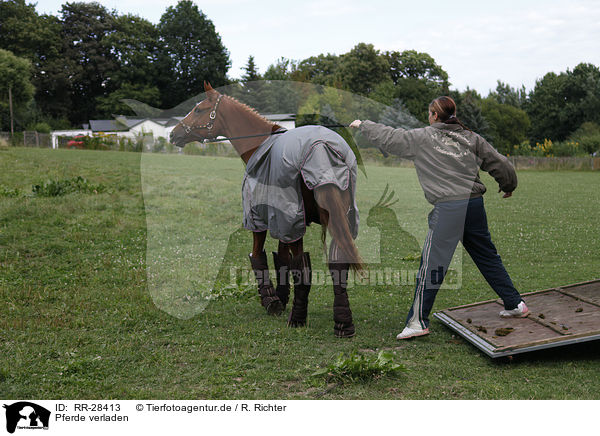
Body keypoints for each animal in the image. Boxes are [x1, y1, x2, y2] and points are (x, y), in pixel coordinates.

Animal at [171, 82, 364, 338]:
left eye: (199, 109)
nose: (173, 134)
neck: (260, 144)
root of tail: (322, 148)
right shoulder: (282, 222)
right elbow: (281, 259)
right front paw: (281, 298)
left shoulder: (263, 221)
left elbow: (258, 257)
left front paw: (271, 301)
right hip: (339, 218)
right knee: (337, 264)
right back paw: (343, 323)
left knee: (302, 266)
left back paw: (298, 319)